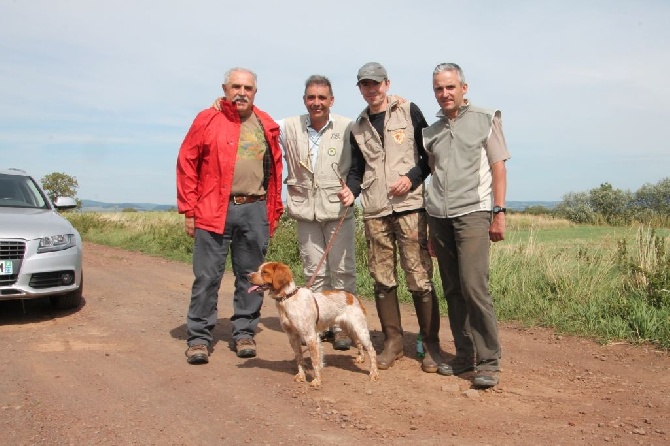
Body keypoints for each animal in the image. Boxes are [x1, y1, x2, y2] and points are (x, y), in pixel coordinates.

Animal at [249, 262, 380, 386]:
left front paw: (317, 380)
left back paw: (374, 373)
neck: (288, 298)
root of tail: (352, 296)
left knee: (372, 351)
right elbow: (299, 358)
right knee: (358, 343)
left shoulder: (310, 337)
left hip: (360, 329)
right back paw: (361, 358)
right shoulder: (293, 337)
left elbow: (315, 361)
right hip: (350, 329)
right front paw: (302, 376)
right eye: (258, 269)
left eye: (264, 272)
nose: (247, 276)